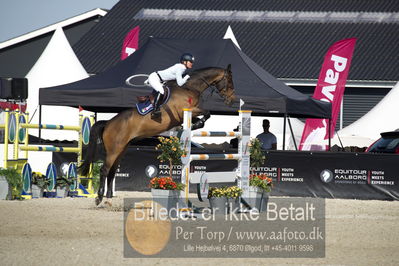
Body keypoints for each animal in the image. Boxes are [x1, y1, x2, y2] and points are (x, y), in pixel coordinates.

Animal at [79, 65, 236, 206]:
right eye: (229, 81)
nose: (231, 100)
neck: (189, 88)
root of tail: (108, 123)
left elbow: (205, 116)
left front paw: (195, 125)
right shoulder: (186, 110)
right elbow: (207, 112)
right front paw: (196, 125)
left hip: (121, 149)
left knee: (112, 171)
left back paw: (109, 197)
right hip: (114, 149)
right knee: (104, 170)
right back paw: (99, 198)